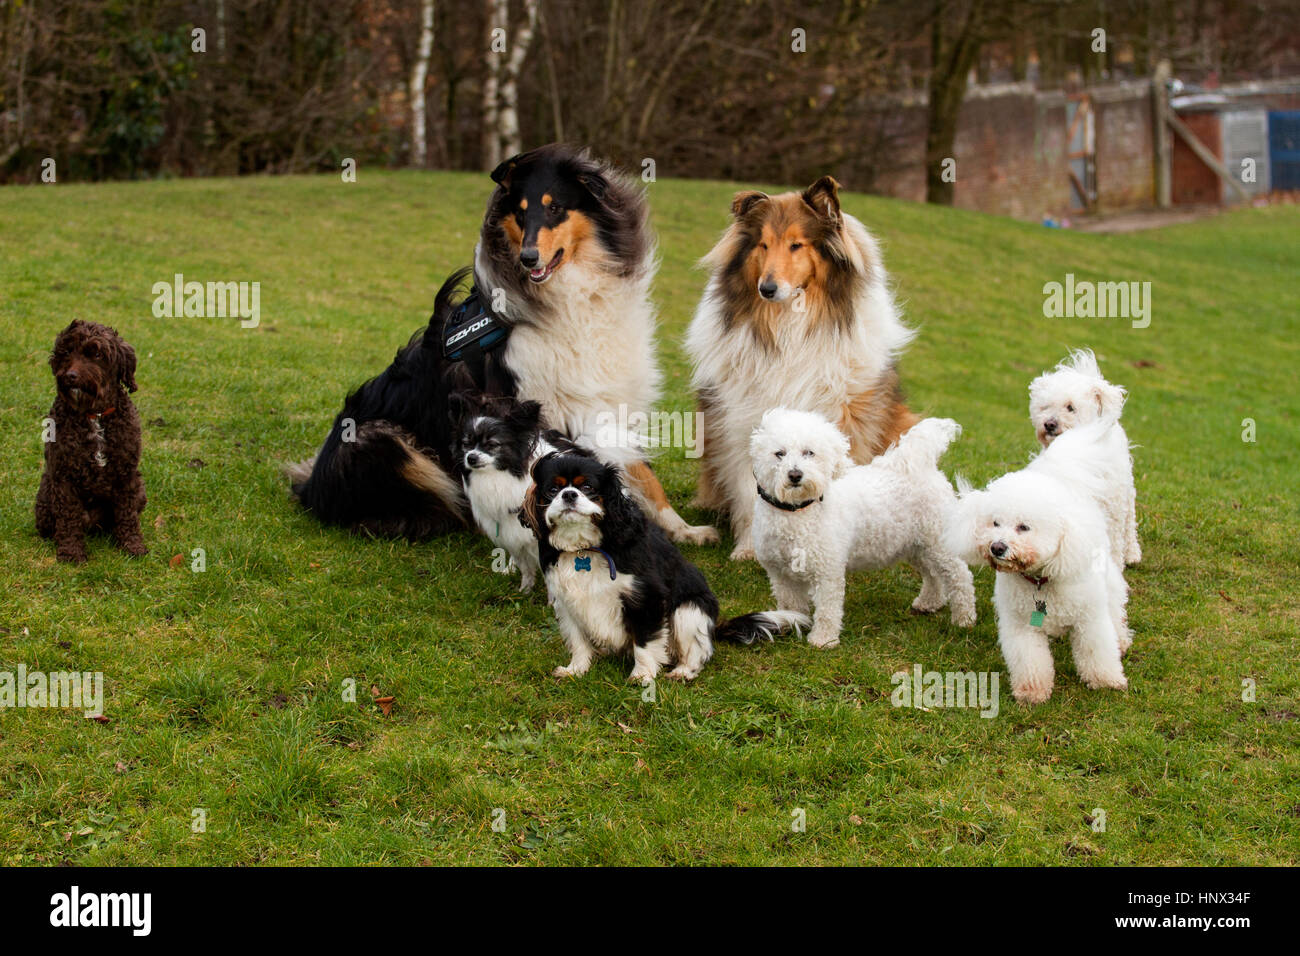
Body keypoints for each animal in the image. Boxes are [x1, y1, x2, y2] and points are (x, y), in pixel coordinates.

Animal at [35, 319, 148, 561]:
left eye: (97, 354)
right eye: (67, 351)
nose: (70, 375)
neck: (94, 414)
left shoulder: (126, 476)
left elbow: (127, 515)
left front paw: (132, 545)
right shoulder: (63, 476)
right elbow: (68, 518)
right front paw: (71, 552)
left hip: (140, 489)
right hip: (45, 497)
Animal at [754, 411, 977, 650]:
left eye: (809, 452)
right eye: (779, 453)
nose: (795, 475)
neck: (797, 511)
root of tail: (922, 466)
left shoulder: (828, 572)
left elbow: (827, 610)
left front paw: (824, 640)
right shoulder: (780, 573)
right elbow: (790, 604)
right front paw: (790, 623)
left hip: (939, 543)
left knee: (960, 576)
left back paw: (964, 618)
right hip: (916, 545)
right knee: (932, 575)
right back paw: (929, 603)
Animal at [941, 421, 1133, 707]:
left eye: (1024, 527)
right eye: (995, 522)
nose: (997, 547)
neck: (1040, 579)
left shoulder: (1090, 618)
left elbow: (1096, 649)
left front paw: (1105, 680)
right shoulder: (1021, 626)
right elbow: (1030, 660)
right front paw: (1032, 692)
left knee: (1115, 606)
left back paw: (1121, 638)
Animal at [1024, 348, 1138, 564]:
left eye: (1070, 407)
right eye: (1045, 407)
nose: (1049, 424)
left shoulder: (1112, 507)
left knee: (1129, 522)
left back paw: (1132, 553)